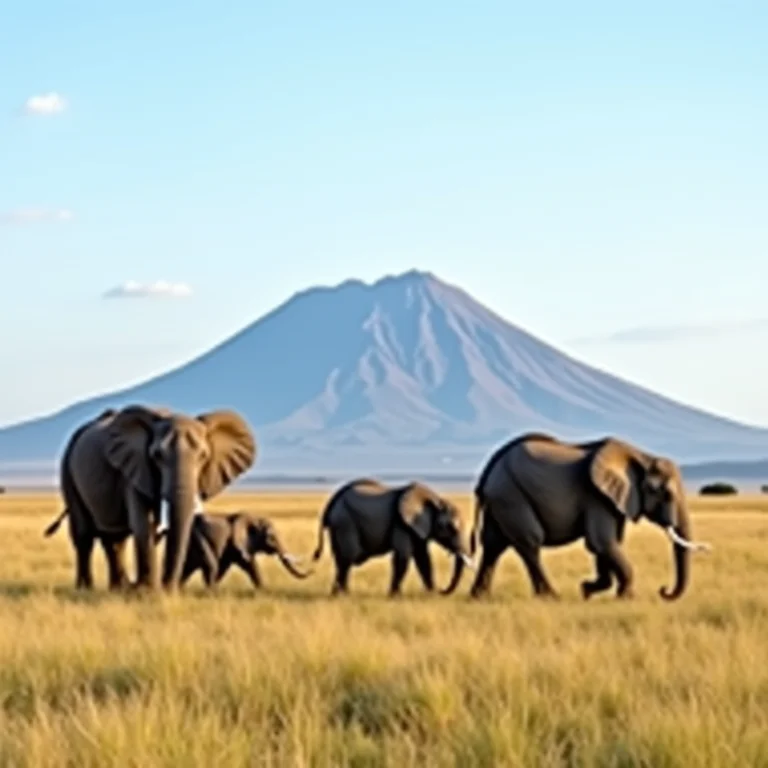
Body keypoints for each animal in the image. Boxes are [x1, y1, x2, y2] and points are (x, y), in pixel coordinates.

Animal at [46, 404, 256, 592]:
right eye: (156, 455)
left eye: (204, 456)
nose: (169, 587)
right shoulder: (134, 469)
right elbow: (143, 523)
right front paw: (147, 591)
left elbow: (155, 529)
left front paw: (149, 590)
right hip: (67, 468)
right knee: (84, 535)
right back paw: (86, 589)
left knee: (114, 539)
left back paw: (118, 589)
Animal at [155, 512, 313, 588]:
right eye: (271, 537)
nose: (312, 570)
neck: (253, 519)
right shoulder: (236, 544)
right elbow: (249, 564)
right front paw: (264, 590)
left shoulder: (231, 548)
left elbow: (225, 567)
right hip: (197, 538)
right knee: (209, 565)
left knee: (186, 569)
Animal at [311, 478, 475, 596]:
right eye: (451, 528)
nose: (442, 590)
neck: (435, 499)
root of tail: (331, 503)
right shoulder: (401, 524)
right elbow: (403, 557)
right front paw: (395, 596)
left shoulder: (417, 527)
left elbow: (423, 558)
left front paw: (431, 594)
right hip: (344, 522)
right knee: (347, 558)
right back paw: (343, 595)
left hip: (338, 524)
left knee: (340, 560)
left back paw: (338, 594)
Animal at [467, 433, 711, 601]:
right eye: (666, 494)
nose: (663, 590)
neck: (642, 457)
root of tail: (489, 470)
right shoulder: (596, 496)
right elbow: (602, 542)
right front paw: (627, 598)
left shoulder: (613, 499)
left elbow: (606, 545)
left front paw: (587, 590)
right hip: (511, 495)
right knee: (529, 543)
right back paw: (551, 597)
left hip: (501, 498)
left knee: (493, 545)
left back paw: (479, 598)